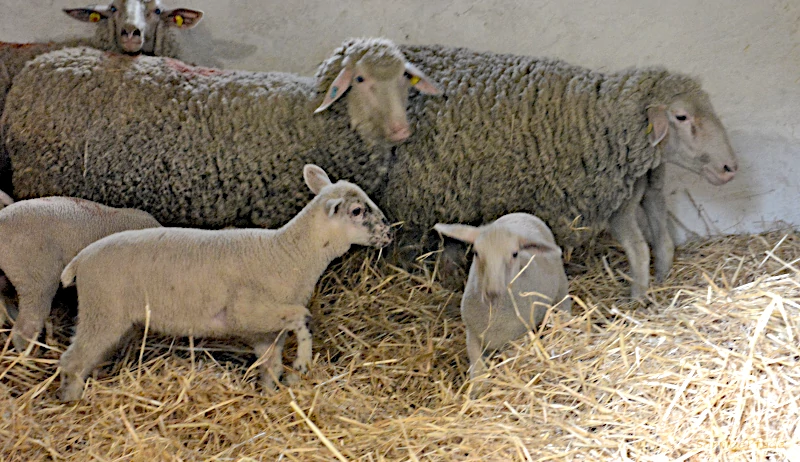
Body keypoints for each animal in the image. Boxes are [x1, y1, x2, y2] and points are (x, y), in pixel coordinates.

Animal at [57, 164, 394, 402]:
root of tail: (80, 260)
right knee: (72, 360)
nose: (390, 233)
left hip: (113, 318)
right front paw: (302, 362)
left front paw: (270, 393)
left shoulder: (265, 331)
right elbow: (304, 317)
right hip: (102, 312)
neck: (288, 252)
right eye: (357, 211)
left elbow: (271, 364)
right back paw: (72, 402)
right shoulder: (248, 313)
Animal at [386, 44, 736, 300]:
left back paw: (641, 296)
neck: (599, 119)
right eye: (681, 116)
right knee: (658, 243)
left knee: (650, 246)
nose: (730, 168)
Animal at [434, 213, 572, 386]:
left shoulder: (517, 338)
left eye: (514, 254)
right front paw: (478, 387)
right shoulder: (473, 334)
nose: (492, 291)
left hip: (561, 287)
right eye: (476, 252)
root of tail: (521, 214)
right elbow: (477, 366)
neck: (495, 312)